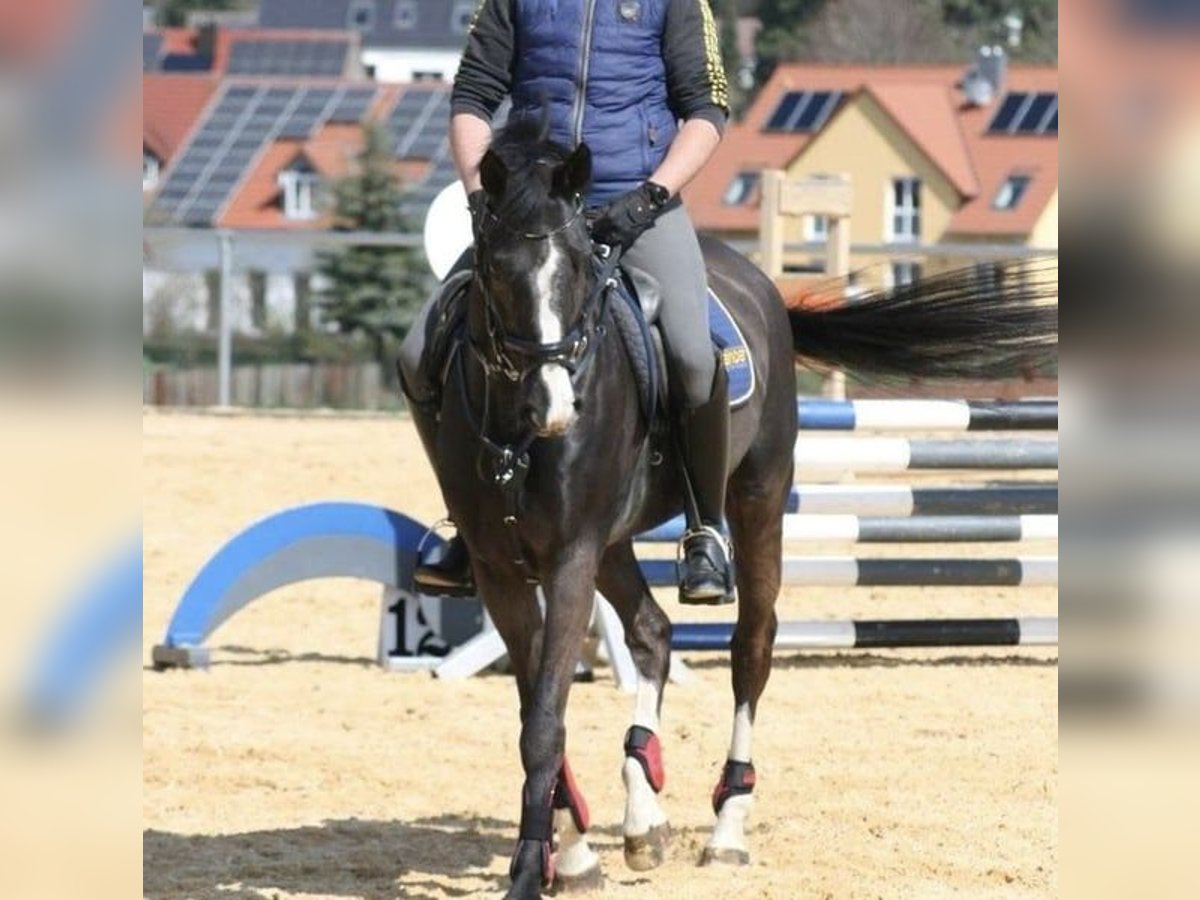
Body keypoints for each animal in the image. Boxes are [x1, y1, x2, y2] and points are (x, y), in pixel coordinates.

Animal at [419, 119, 1056, 900]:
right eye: (498, 270)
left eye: (577, 270)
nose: (556, 408)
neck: (517, 428)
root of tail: (762, 287)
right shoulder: (500, 565)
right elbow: (537, 707)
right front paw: (568, 854)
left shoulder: (569, 556)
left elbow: (545, 716)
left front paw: (532, 868)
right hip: (615, 543)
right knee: (653, 632)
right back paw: (643, 814)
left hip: (756, 503)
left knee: (752, 645)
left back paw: (726, 826)